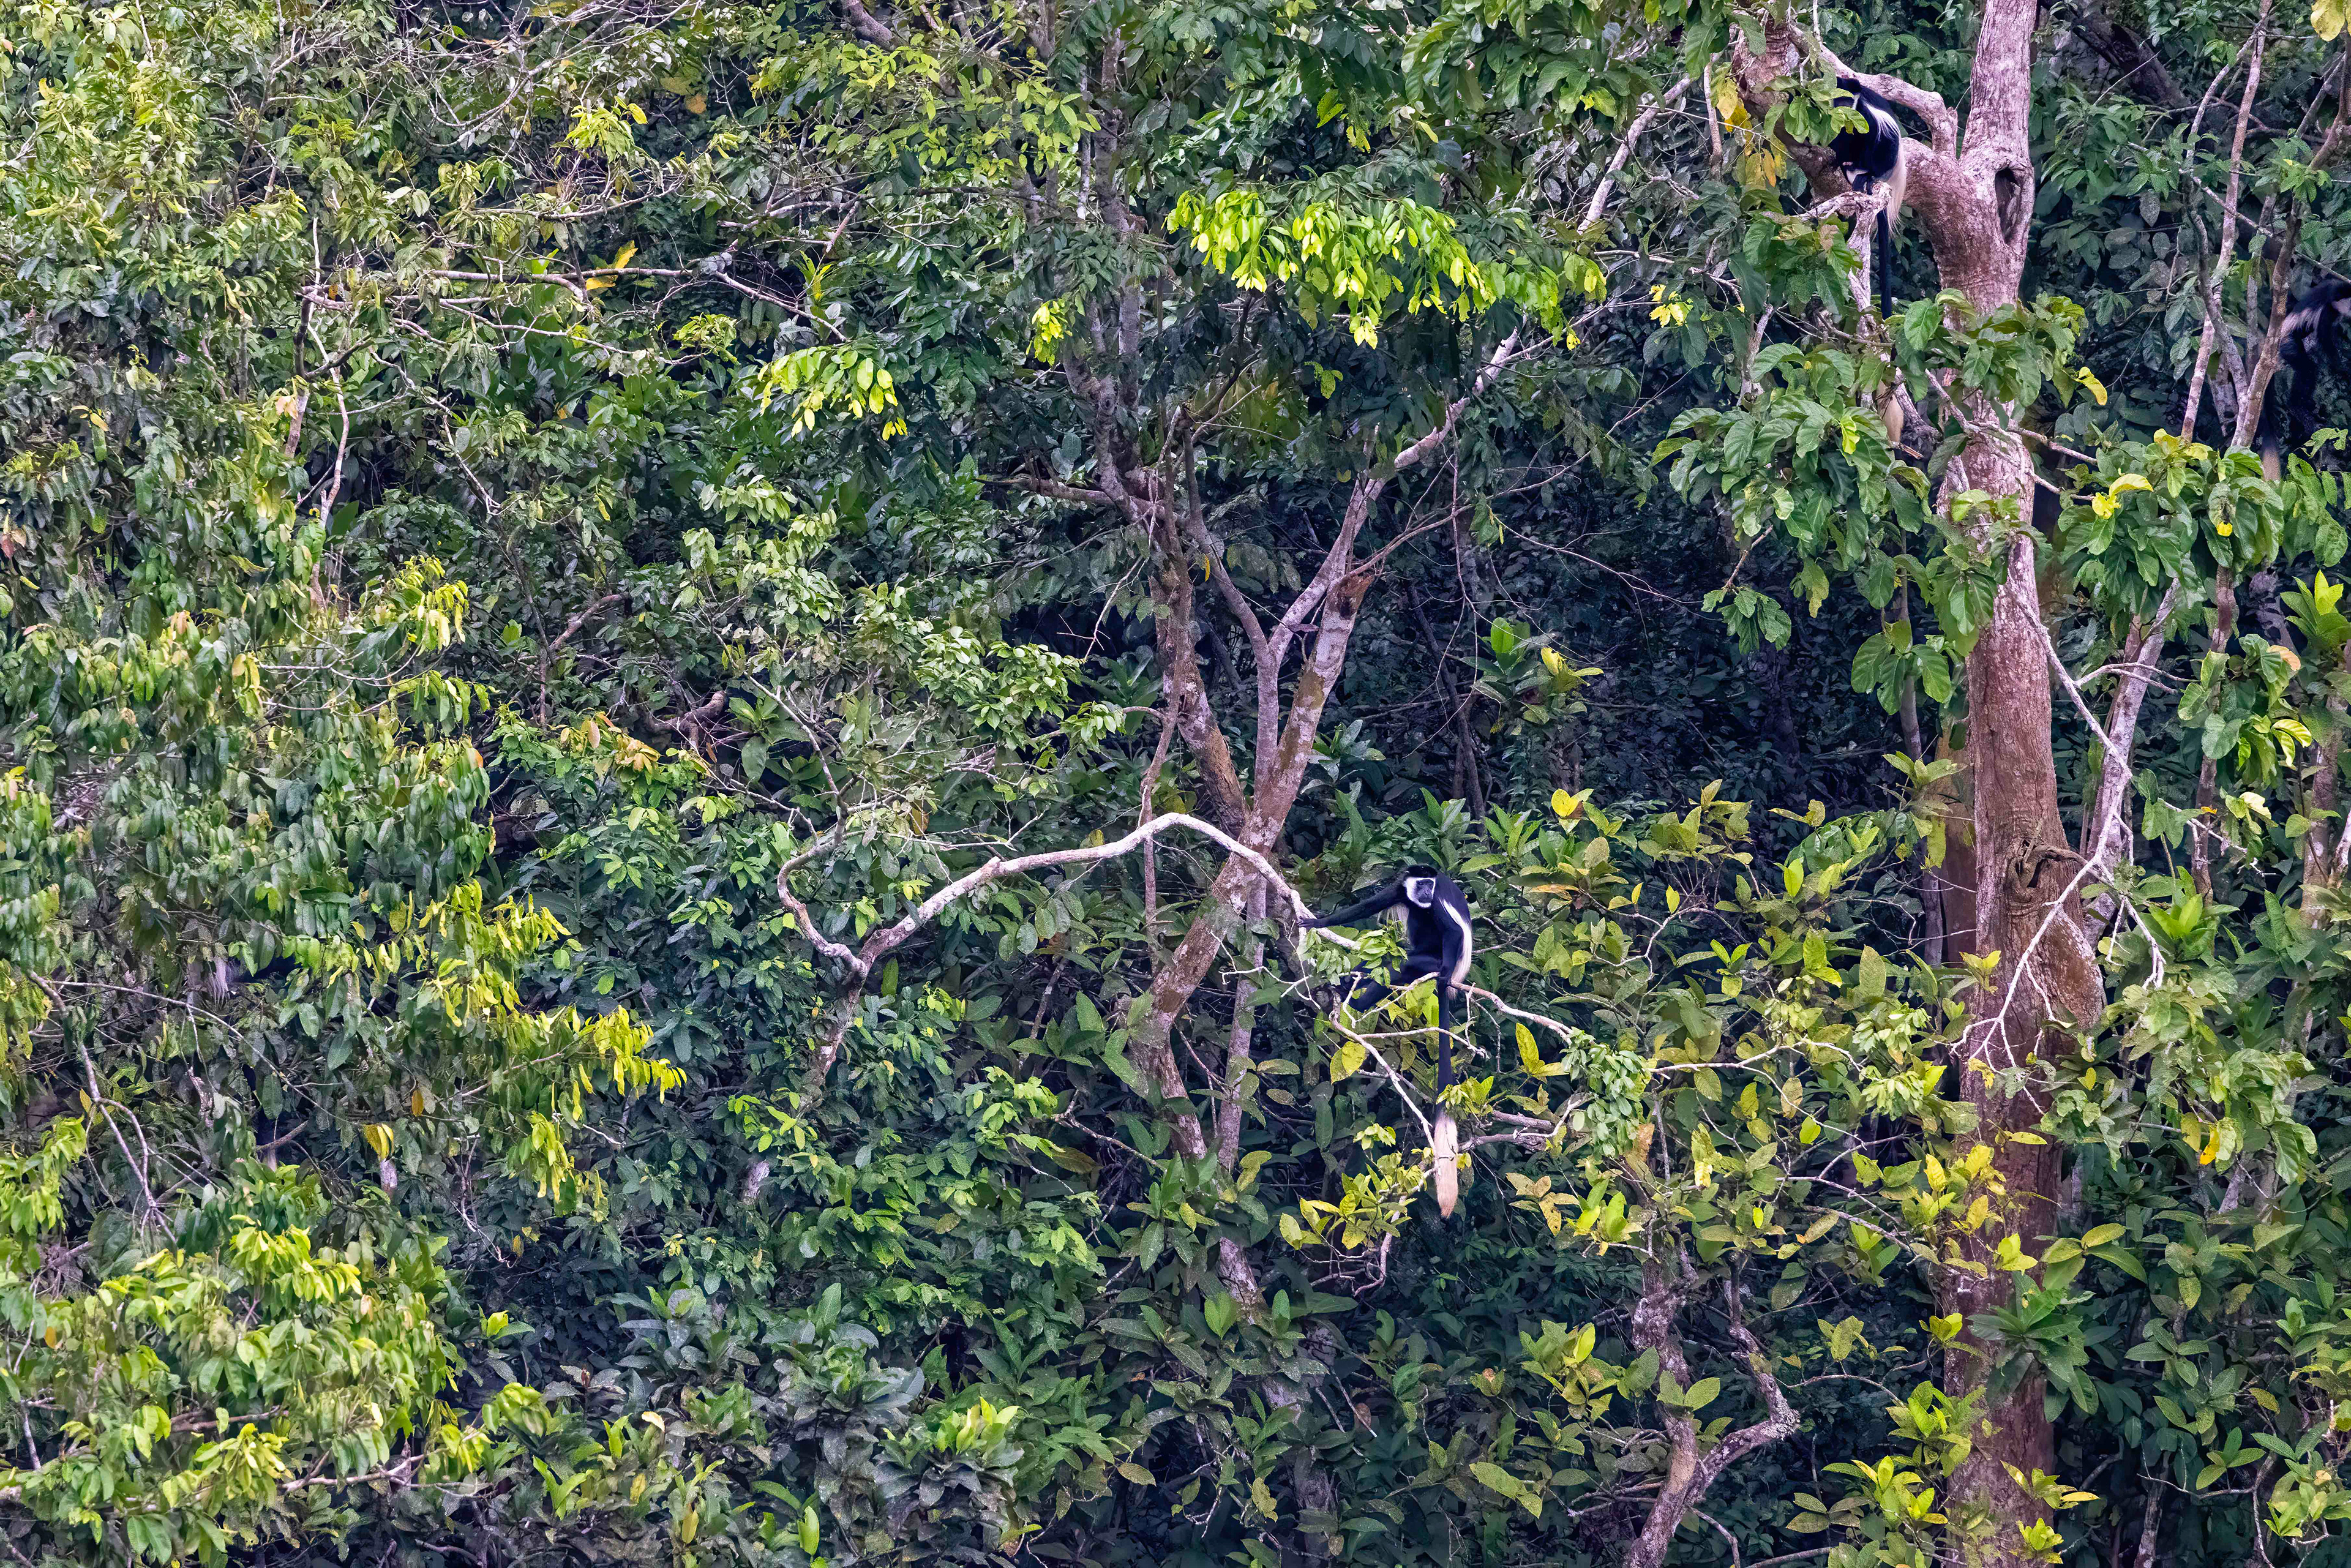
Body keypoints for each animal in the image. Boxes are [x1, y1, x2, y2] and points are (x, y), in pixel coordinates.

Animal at [1303, 864, 1476, 1217]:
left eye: (1431, 885)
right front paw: (1317, 923)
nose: (1425, 893)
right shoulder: (1400, 890)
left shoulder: (1439, 899)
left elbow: (1453, 931)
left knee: (1403, 965)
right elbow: (1366, 906)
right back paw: (1348, 986)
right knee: (1386, 964)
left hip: (1429, 962)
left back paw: (1359, 1002)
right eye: (1420, 884)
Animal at [1830, 76, 1909, 322]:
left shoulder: (1862, 114)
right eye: (1837, 99)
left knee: (1875, 140)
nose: (1842, 108)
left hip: (1884, 157)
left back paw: (1865, 173)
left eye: (1847, 100)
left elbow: (1873, 133)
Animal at [2259, 278, 2351, 481]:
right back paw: (2297, 407)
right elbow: (2325, 339)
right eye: (2349, 304)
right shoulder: (2328, 312)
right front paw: (2341, 369)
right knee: (2307, 370)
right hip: (2288, 345)